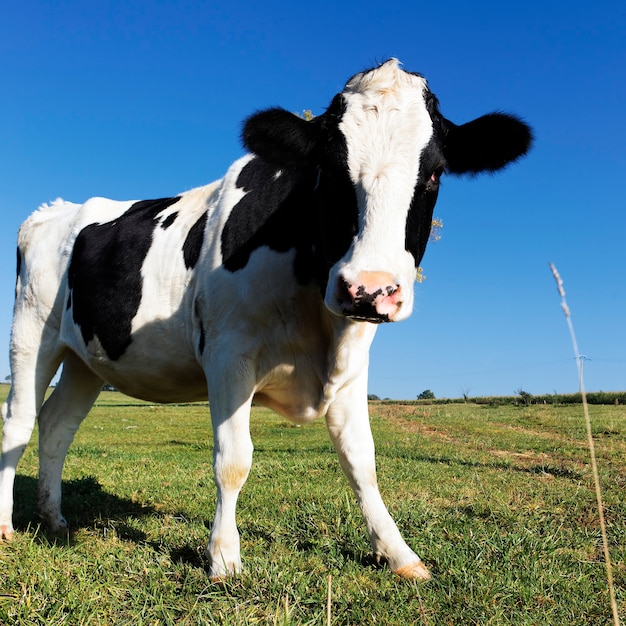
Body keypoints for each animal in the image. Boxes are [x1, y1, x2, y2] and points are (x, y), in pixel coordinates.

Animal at [0, 59, 528, 580]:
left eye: (435, 173)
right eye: (328, 171)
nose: (369, 289)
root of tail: (55, 210)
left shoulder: (352, 366)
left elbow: (362, 461)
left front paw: (398, 553)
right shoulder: (229, 355)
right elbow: (233, 459)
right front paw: (223, 557)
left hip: (86, 358)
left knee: (57, 425)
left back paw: (54, 518)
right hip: (31, 334)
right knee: (18, 423)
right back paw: (7, 526)